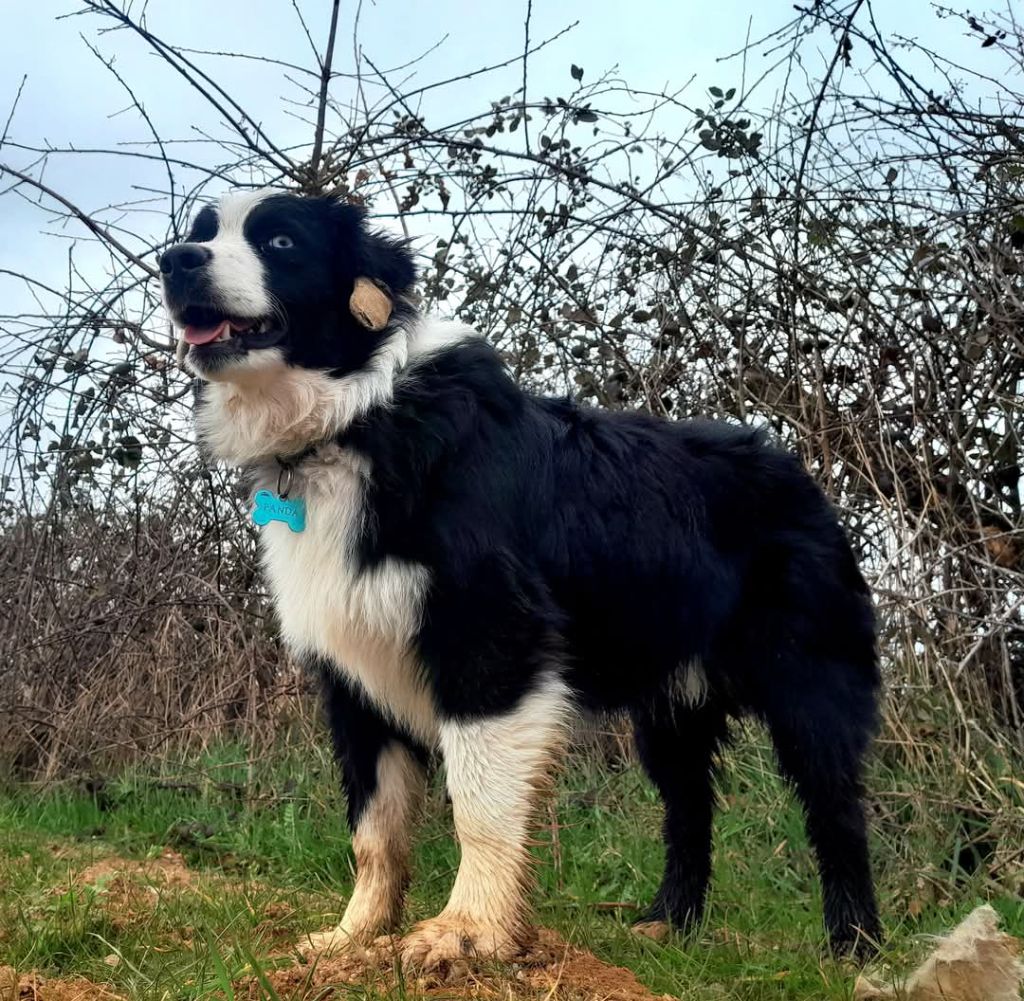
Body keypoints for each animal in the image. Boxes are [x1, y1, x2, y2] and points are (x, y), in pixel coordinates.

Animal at [159, 189, 880, 966]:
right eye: (203, 232)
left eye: (282, 242)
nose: (175, 261)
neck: (354, 414)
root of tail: (796, 468)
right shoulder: (353, 674)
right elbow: (374, 830)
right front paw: (354, 937)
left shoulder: (491, 642)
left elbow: (478, 804)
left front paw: (465, 931)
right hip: (670, 704)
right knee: (689, 806)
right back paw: (670, 924)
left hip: (809, 680)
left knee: (836, 808)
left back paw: (854, 944)